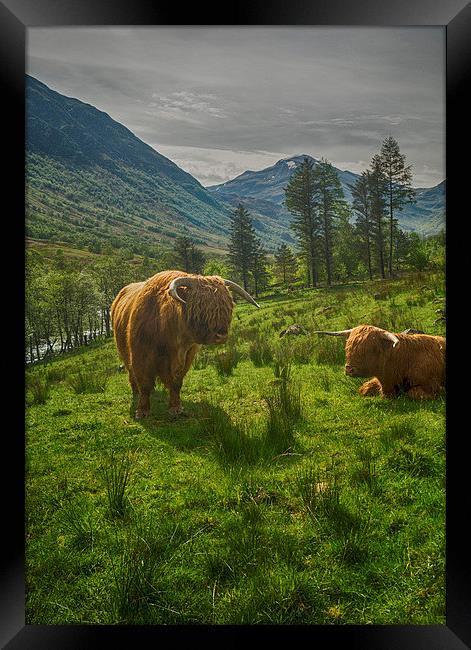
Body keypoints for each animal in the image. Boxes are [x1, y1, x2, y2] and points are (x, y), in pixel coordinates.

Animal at [111, 268, 260, 416]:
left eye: (228, 306)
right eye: (200, 306)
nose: (221, 335)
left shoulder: (186, 355)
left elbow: (176, 382)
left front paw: (176, 407)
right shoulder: (140, 355)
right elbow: (144, 382)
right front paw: (142, 411)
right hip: (124, 352)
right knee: (132, 374)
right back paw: (136, 392)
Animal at [314, 322, 446, 398]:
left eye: (369, 350)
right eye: (347, 347)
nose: (349, 369)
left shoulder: (431, 385)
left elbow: (413, 393)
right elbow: (364, 389)